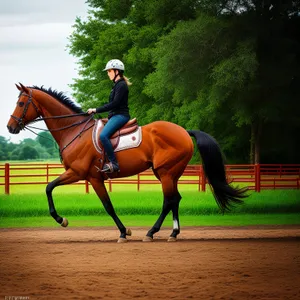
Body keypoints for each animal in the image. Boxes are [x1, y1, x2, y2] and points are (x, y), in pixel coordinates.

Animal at [7, 83, 248, 243]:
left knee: (169, 201)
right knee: (175, 199)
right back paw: (173, 233)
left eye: (21, 103)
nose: (10, 127)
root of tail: (184, 131)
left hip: (166, 172)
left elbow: (106, 205)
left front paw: (122, 232)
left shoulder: (86, 175)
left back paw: (152, 232)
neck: (75, 131)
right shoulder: (80, 175)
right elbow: (49, 187)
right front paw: (62, 219)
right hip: (168, 172)